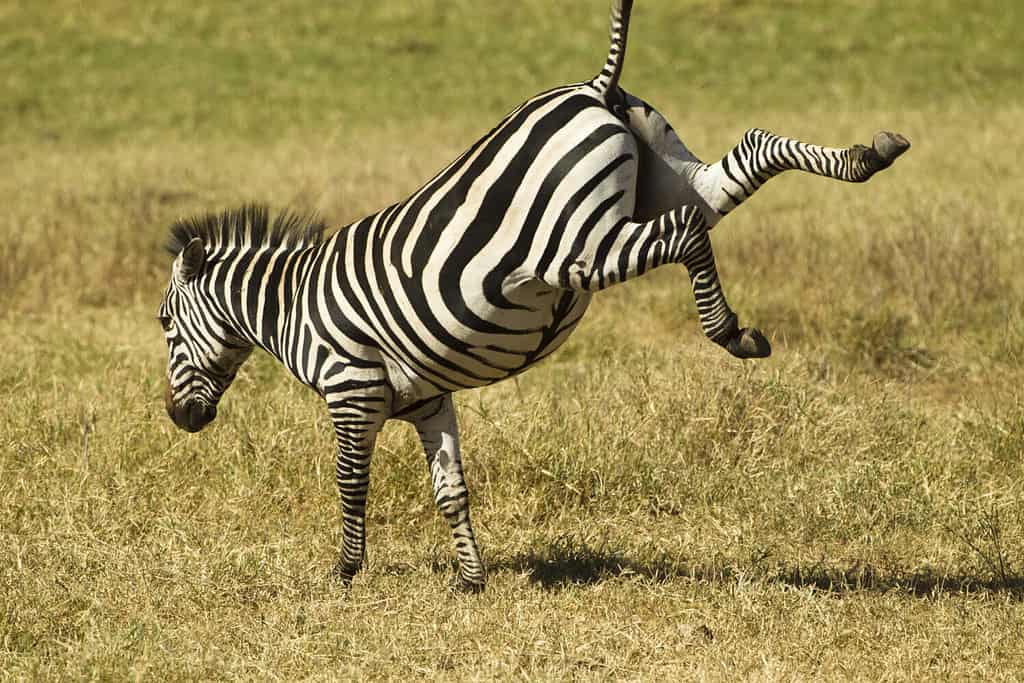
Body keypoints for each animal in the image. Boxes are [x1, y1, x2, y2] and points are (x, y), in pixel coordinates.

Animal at [158, 0, 909, 592]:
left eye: (165, 324)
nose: (178, 418)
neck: (289, 306)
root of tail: (592, 87)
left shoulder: (352, 391)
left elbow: (349, 480)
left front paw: (345, 571)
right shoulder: (427, 400)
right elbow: (451, 490)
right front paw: (471, 579)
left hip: (577, 244)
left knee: (685, 232)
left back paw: (730, 330)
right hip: (673, 176)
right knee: (750, 152)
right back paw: (869, 154)